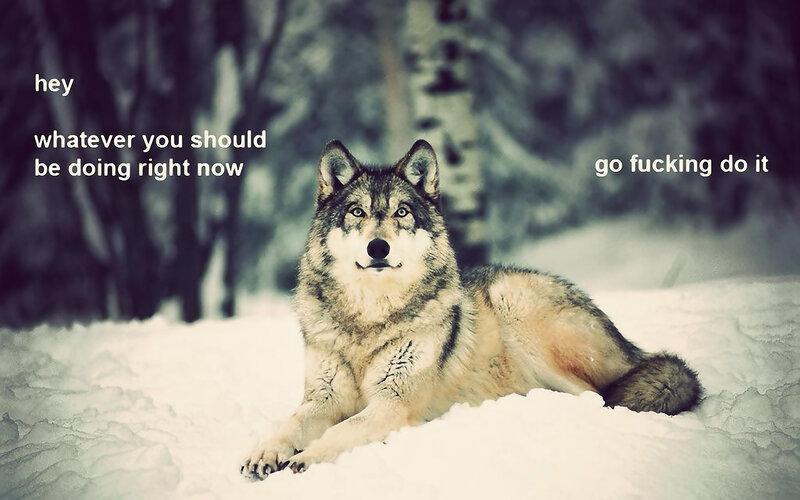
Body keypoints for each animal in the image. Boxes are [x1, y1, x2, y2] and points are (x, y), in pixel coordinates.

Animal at [240, 140, 702, 478]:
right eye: (357, 212)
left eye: (401, 213)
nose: (378, 248)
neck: (369, 319)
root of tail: (631, 348)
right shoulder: (323, 399)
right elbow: (289, 424)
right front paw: (264, 452)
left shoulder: (392, 403)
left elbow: (342, 430)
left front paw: (305, 458)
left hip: (516, 306)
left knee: (597, 397)